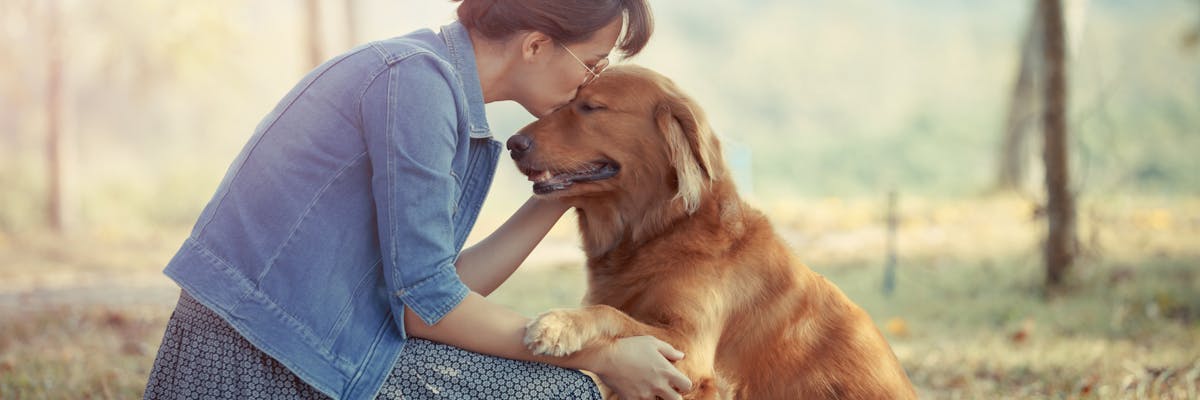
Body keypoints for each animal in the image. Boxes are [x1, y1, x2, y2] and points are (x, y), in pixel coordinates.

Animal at [508, 63, 916, 396]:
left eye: (591, 107)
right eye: (562, 104)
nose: (513, 144)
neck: (659, 231)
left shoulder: (686, 351)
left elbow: (610, 313)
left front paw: (557, 324)